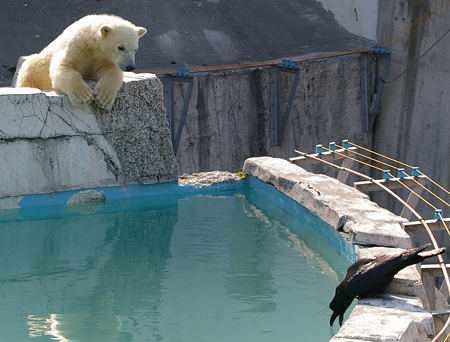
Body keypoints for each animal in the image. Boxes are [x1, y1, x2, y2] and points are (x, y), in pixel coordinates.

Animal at [14, 15, 146, 109]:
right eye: (120, 47)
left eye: (135, 49)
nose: (130, 66)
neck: (92, 43)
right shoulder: (76, 47)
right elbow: (65, 66)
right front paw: (83, 96)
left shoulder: (104, 58)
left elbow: (111, 71)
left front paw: (103, 98)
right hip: (39, 68)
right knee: (31, 67)